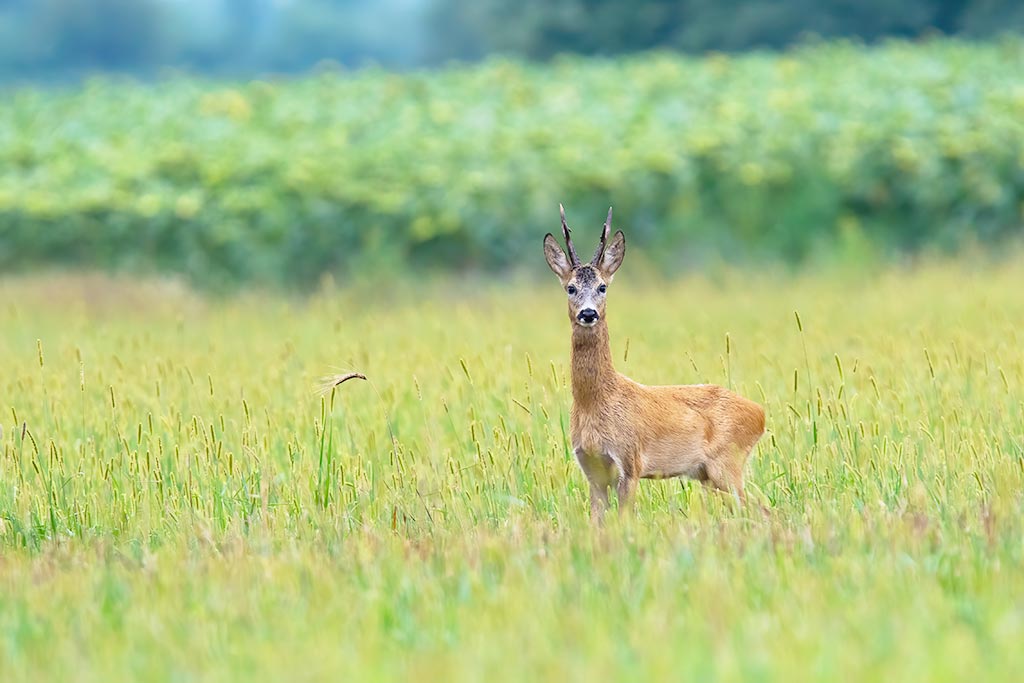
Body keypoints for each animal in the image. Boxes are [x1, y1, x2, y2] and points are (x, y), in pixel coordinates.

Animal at [543, 205, 766, 523]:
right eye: (570, 288)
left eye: (602, 287)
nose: (588, 313)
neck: (595, 402)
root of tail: (760, 413)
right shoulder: (592, 470)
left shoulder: (630, 462)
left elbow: (625, 520)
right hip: (709, 475)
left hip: (727, 465)